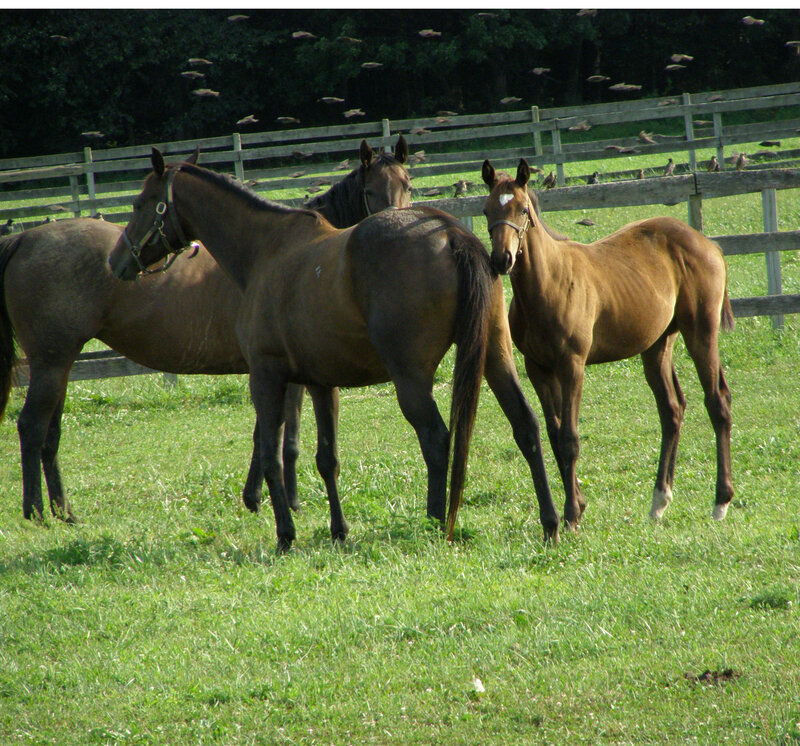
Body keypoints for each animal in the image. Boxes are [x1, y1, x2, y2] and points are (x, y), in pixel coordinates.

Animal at [0, 137, 411, 524]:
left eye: (407, 184)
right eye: (369, 191)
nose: (395, 227)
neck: (288, 255)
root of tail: (25, 238)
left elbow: (271, 435)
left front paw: (260, 497)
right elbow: (283, 439)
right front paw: (281, 500)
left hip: (60, 364)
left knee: (50, 435)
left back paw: (63, 511)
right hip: (51, 362)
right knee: (32, 427)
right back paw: (36, 511)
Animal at [108, 148, 560, 550]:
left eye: (139, 203)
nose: (117, 261)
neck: (266, 250)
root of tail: (451, 234)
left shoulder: (267, 377)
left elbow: (272, 454)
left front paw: (285, 534)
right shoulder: (320, 383)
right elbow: (327, 459)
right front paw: (338, 531)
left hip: (411, 380)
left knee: (436, 439)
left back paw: (435, 523)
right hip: (496, 359)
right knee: (526, 426)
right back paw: (552, 522)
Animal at [481, 158, 734, 529]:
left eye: (523, 209)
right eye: (486, 210)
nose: (502, 260)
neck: (548, 284)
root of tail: (708, 243)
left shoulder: (572, 366)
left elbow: (570, 439)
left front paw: (572, 515)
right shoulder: (539, 369)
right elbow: (555, 435)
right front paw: (578, 504)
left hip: (701, 331)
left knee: (717, 402)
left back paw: (720, 502)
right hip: (658, 344)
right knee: (671, 410)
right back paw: (659, 501)